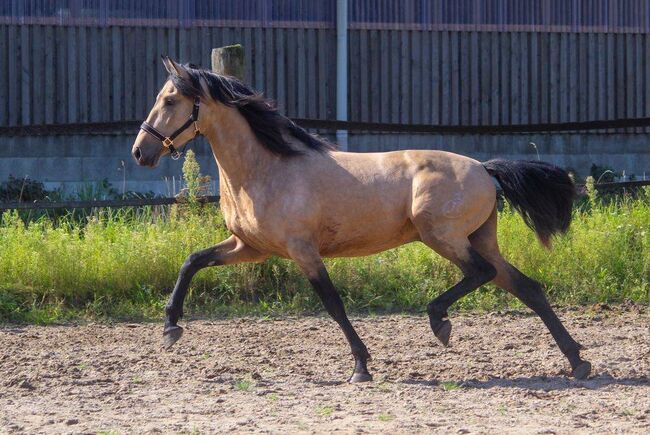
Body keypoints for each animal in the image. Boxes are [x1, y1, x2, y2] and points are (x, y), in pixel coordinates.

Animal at [130, 57, 588, 382]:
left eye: (169, 100)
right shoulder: (251, 248)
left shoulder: (302, 251)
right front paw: (170, 328)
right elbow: (192, 261)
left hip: (441, 235)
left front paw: (361, 367)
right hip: (478, 238)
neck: (265, 169)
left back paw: (439, 321)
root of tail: (483, 168)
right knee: (526, 287)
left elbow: (333, 304)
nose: (140, 152)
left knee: (482, 273)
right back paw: (577, 361)